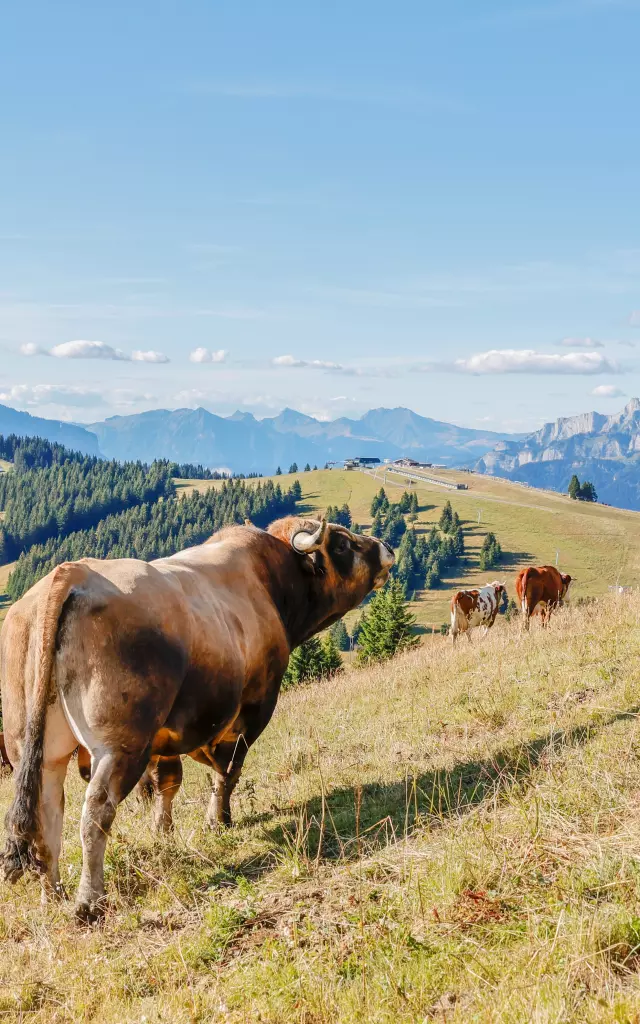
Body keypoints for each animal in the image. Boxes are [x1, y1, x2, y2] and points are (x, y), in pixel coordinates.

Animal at [0, 516, 391, 925]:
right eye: (342, 544)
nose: (385, 548)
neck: (270, 582)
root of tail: (69, 573)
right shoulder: (253, 709)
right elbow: (228, 770)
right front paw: (218, 820)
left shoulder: (167, 735)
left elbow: (168, 782)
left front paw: (164, 833)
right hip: (119, 746)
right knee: (96, 811)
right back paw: (90, 900)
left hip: (40, 751)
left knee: (46, 815)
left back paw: (52, 896)